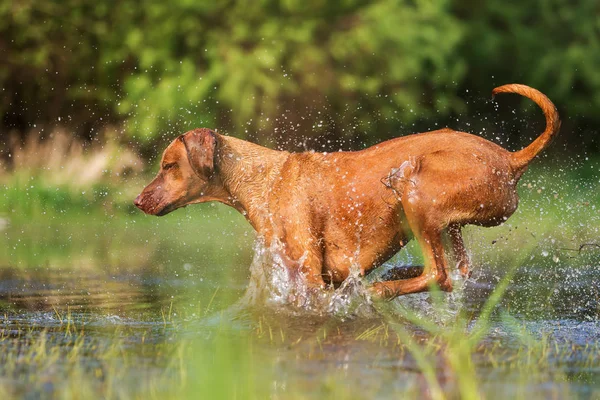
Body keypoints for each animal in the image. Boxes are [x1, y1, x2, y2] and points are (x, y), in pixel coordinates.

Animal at [135, 83, 556, 296]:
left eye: (169, 166)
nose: (137, 200)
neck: (264, 177)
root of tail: (511, 159)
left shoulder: (308, 273)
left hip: (411, 184)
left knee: (440, 274)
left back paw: (379, 291)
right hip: (444, 219)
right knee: (459, 269)